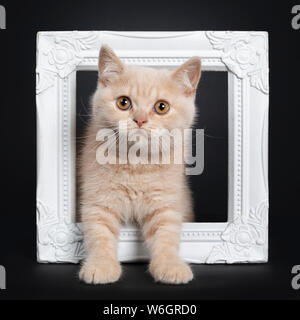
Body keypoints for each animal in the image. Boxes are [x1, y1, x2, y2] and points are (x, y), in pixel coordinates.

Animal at [79, 45, 202, 284]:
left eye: (161, 107)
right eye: (123, 102)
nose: (140, 120)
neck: (136, 165)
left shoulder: (166, 202)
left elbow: (167, 235)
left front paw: (170, 266)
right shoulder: (98, 201)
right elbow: (99, 234)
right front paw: (101, 266)